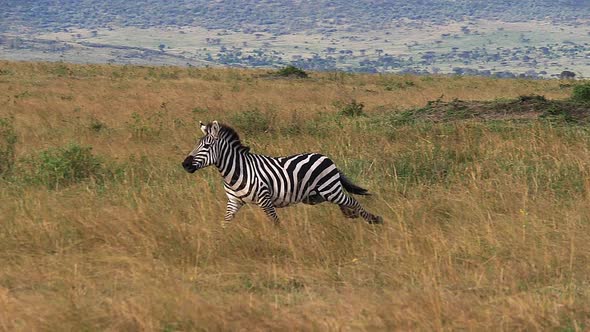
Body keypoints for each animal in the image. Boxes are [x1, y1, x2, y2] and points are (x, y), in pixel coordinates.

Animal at [182, 121, 384, 226]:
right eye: (196, 144)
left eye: (206, 146)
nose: (185, 164)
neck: (237, 172)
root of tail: (326, 157)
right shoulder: (234, 201)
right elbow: (226, 222)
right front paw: (220, 239)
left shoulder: (264, 199)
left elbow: (275, 222)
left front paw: (280, 239)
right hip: (317, 196)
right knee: (346, 203)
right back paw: (353, 216)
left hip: (330, 189)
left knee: (352, 201)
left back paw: (374, 219)